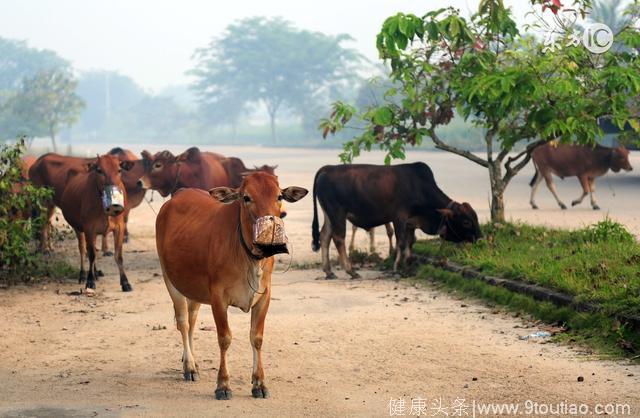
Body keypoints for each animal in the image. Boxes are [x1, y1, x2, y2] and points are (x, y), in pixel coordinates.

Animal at [60, 153, 135, 290]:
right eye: (99, 170)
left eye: (119, 170)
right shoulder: (89, 228)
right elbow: (91, 255)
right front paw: (90, 281)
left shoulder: (119, 226)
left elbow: (118, 255)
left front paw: (125, 282)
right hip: (78, 228)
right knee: (83, 249)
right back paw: (83, 274)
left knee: (93, 248)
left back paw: (95, 273)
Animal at [154, 172, 306, 398]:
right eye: (246, 197)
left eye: (279, 196)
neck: (249, 258)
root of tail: (178, 195)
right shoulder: (218, 297)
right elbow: (224, 338)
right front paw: (223, 385)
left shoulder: (264, 296)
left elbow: (257, 338)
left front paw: (259, 383)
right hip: (171, 280)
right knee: (183, 322)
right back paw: (189, 366)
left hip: (195, 289)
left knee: (192, 320)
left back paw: (193, 363)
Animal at [310, 162, 480, 278]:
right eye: (466, 222)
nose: (479, 238)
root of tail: (327, 168)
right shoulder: (399, 218)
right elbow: (402, 242)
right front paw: (398, 267)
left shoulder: (411, 222)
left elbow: (411, 241)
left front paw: (408, 265)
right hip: (337, 212)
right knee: (338, 238)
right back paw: (351, 271)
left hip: (329, 214)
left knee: (324, 236)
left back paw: (329, 271)